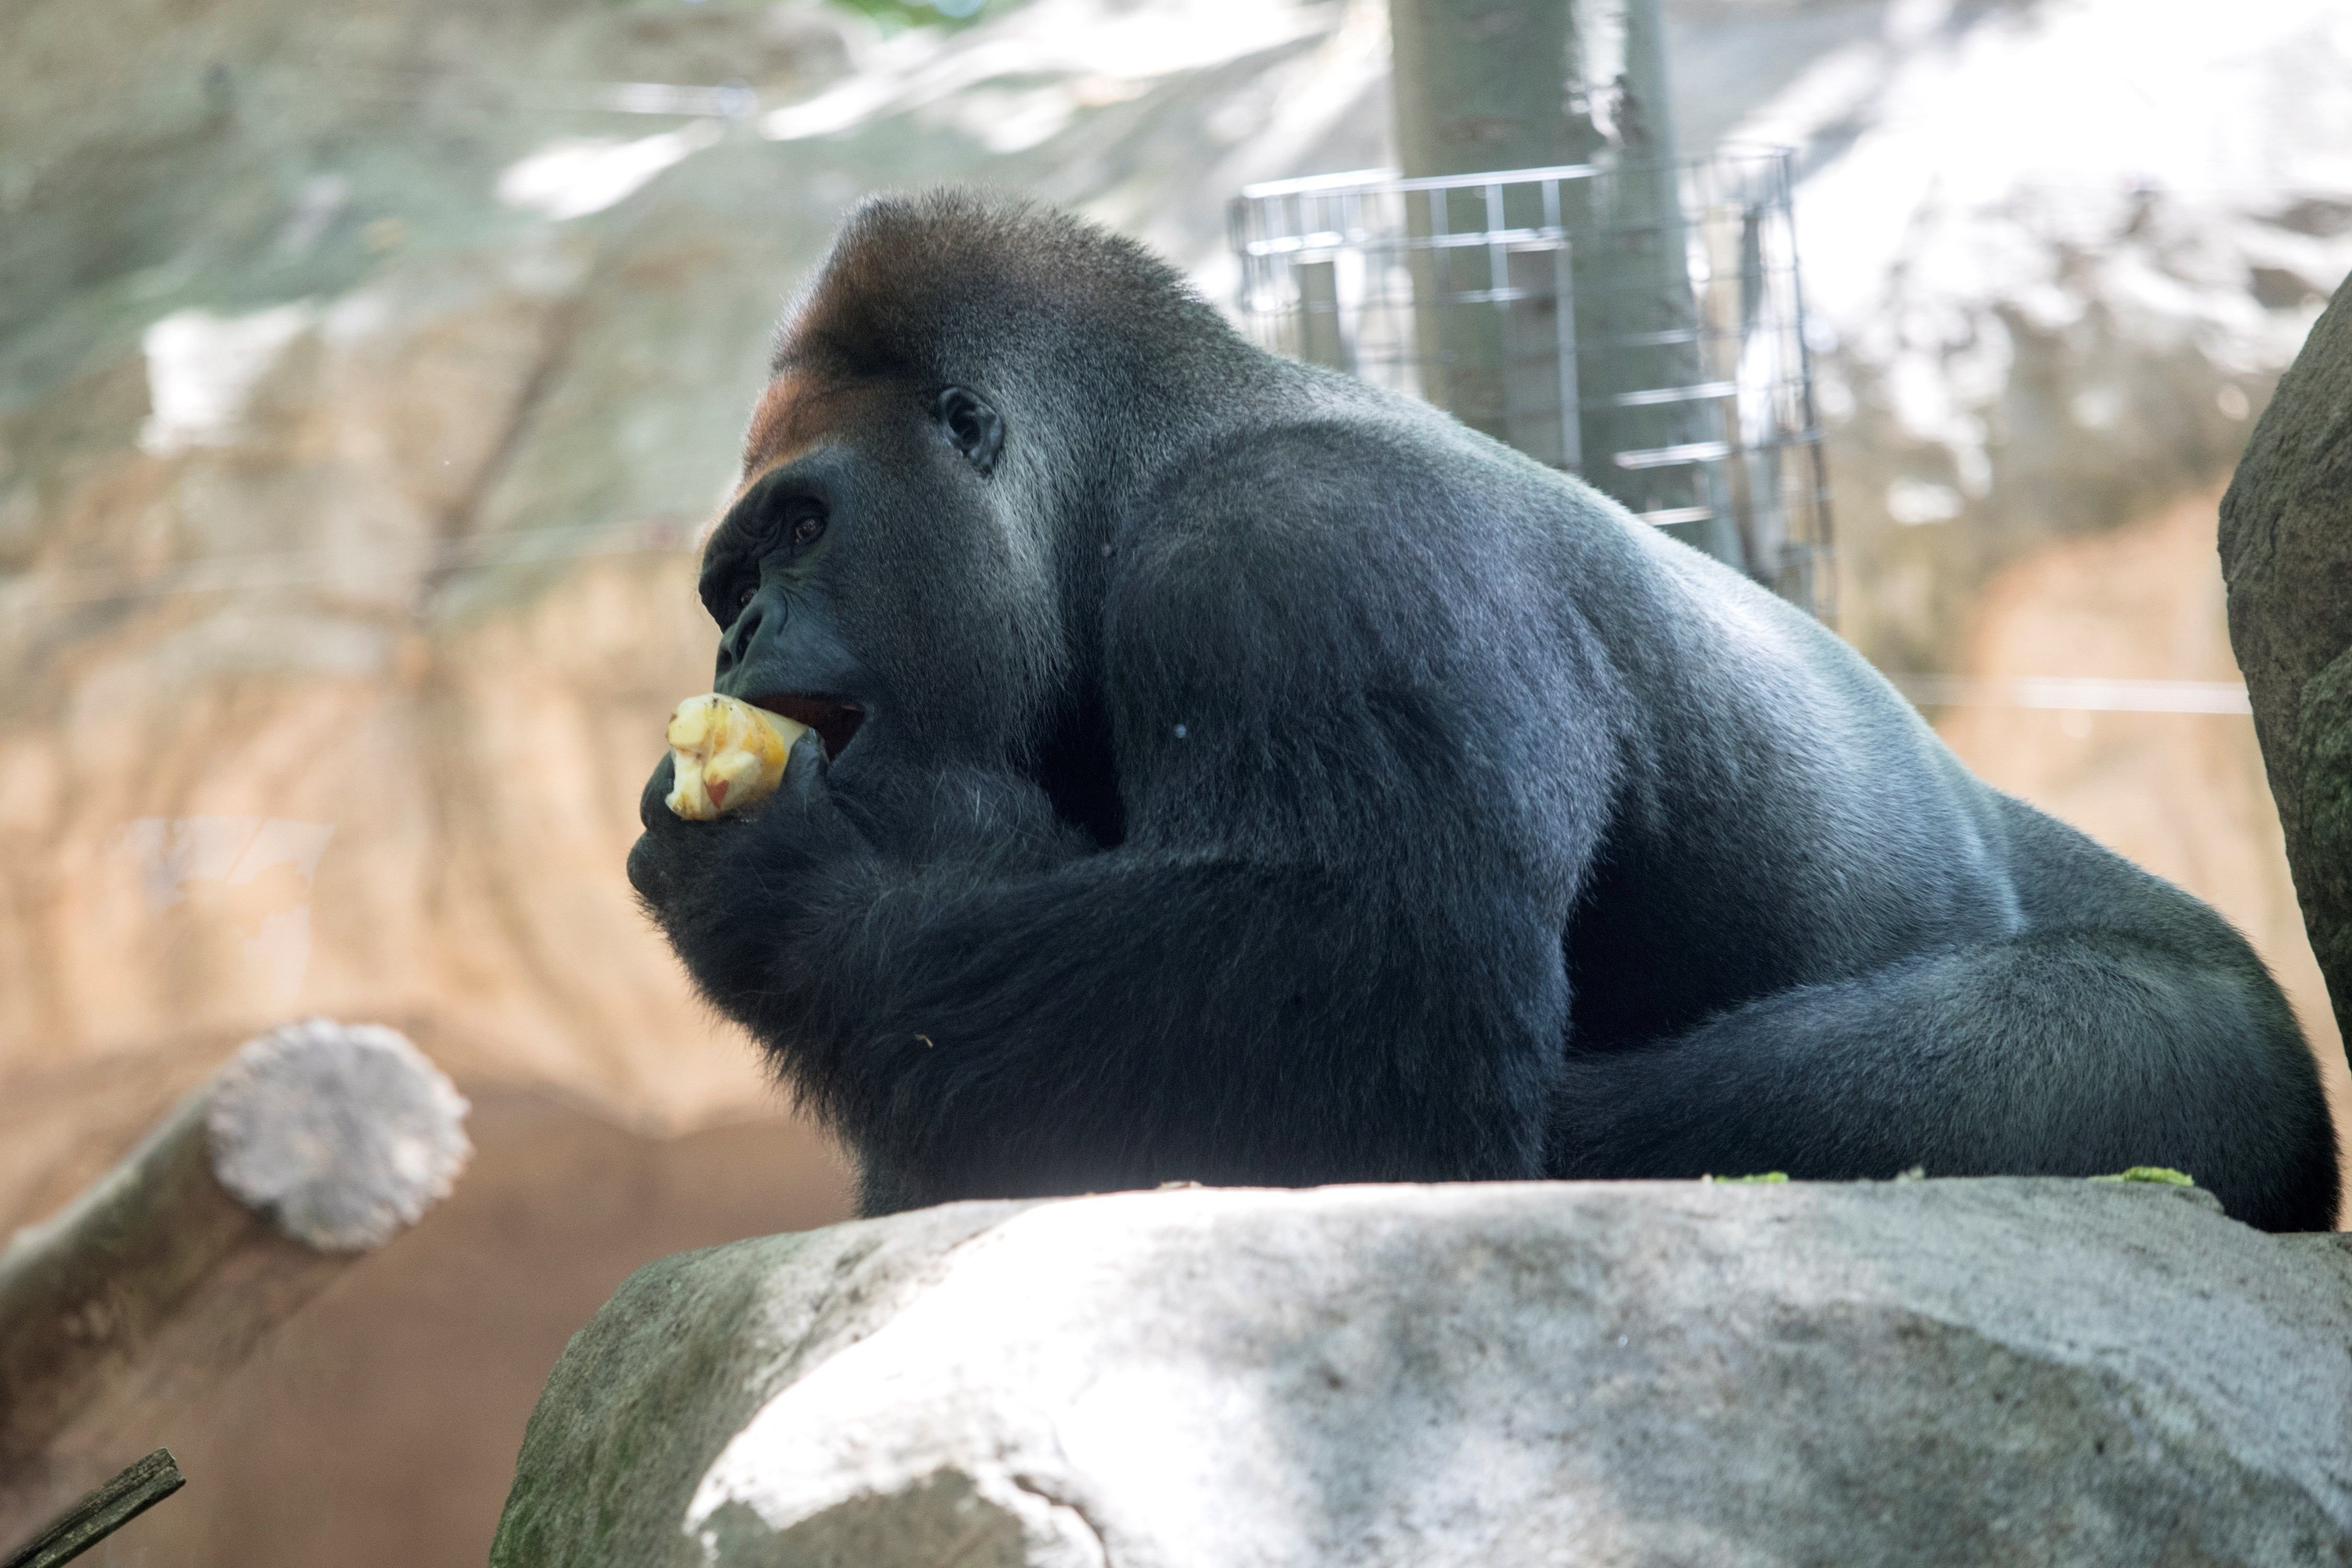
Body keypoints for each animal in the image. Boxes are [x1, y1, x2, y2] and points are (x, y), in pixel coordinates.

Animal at [626, 190, 2333, 1232]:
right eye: (731, 585)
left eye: (802, 529)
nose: (738, 642)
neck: (1126, 478)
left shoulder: (1304, 547)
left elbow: (1373, 982)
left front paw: (806, 880)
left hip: (2213, 1062)